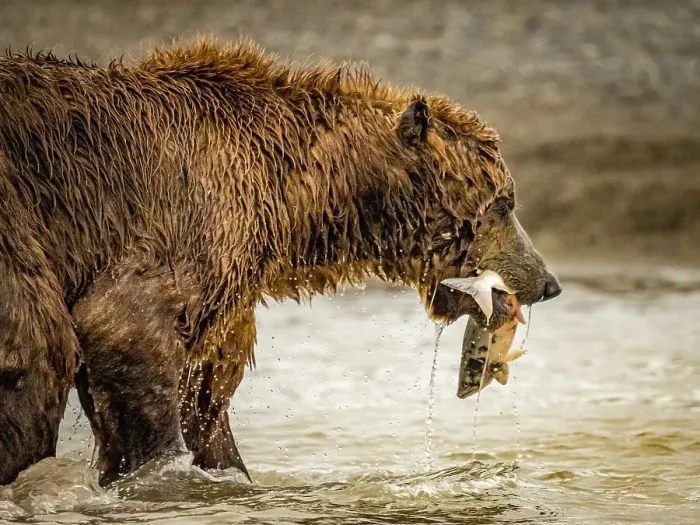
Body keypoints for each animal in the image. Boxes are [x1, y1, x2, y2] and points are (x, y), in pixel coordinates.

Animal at [0, 39, 561, 486]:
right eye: (504, 201)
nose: (548, 281)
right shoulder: (183, 220)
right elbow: (124, 328)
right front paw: (161, 476)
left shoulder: (221, 299)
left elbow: (205, 398)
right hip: (19, 232)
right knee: (38, 353)